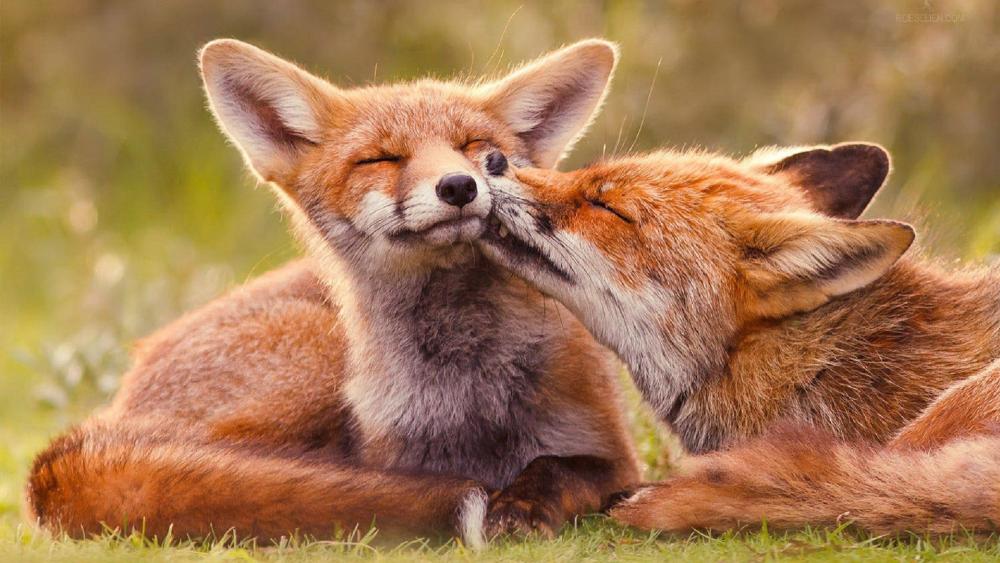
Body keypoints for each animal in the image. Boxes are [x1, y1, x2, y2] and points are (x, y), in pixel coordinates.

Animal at [24, 39, 642, 547]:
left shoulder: (613, 457)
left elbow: (556, 468)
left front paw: (522, 505)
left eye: (477, 148)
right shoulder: (393, 452)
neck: (465, 391)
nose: (459, 186)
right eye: (381, 159)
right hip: (315, 360)